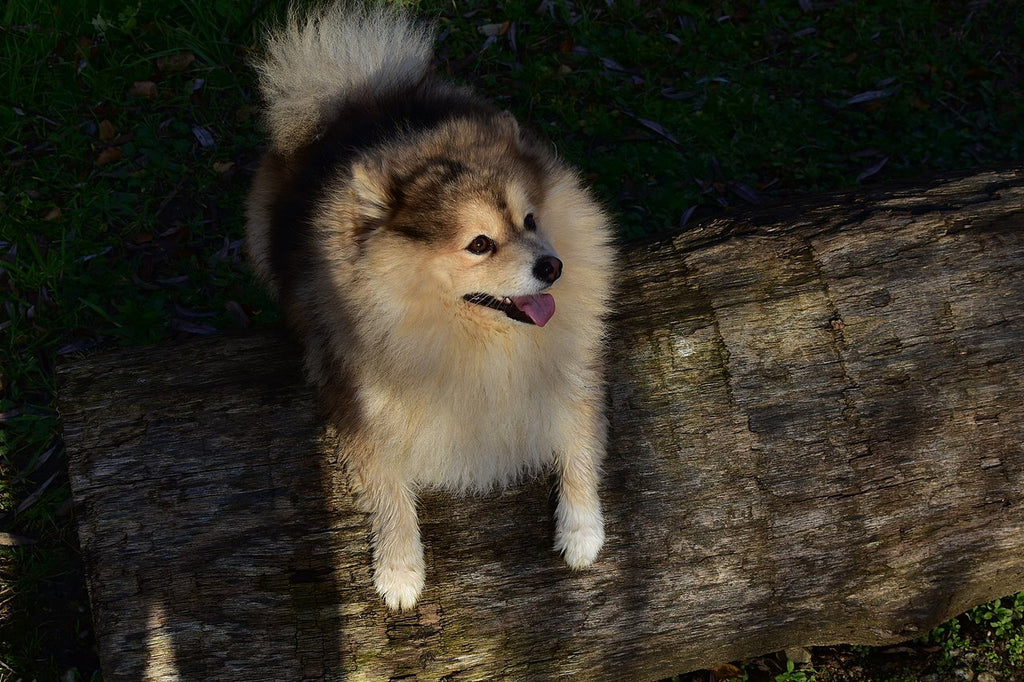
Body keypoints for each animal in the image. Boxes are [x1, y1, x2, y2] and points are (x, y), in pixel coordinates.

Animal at [245, 3, 614, 610]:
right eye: (480, 244)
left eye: (530, 220)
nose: (552, 266)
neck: (477, 340)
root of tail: (354, 99)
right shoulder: (363, 410)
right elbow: (389, 491)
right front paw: (400, 571)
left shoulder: (568, 374)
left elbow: (578, 441)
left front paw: (581, 529)